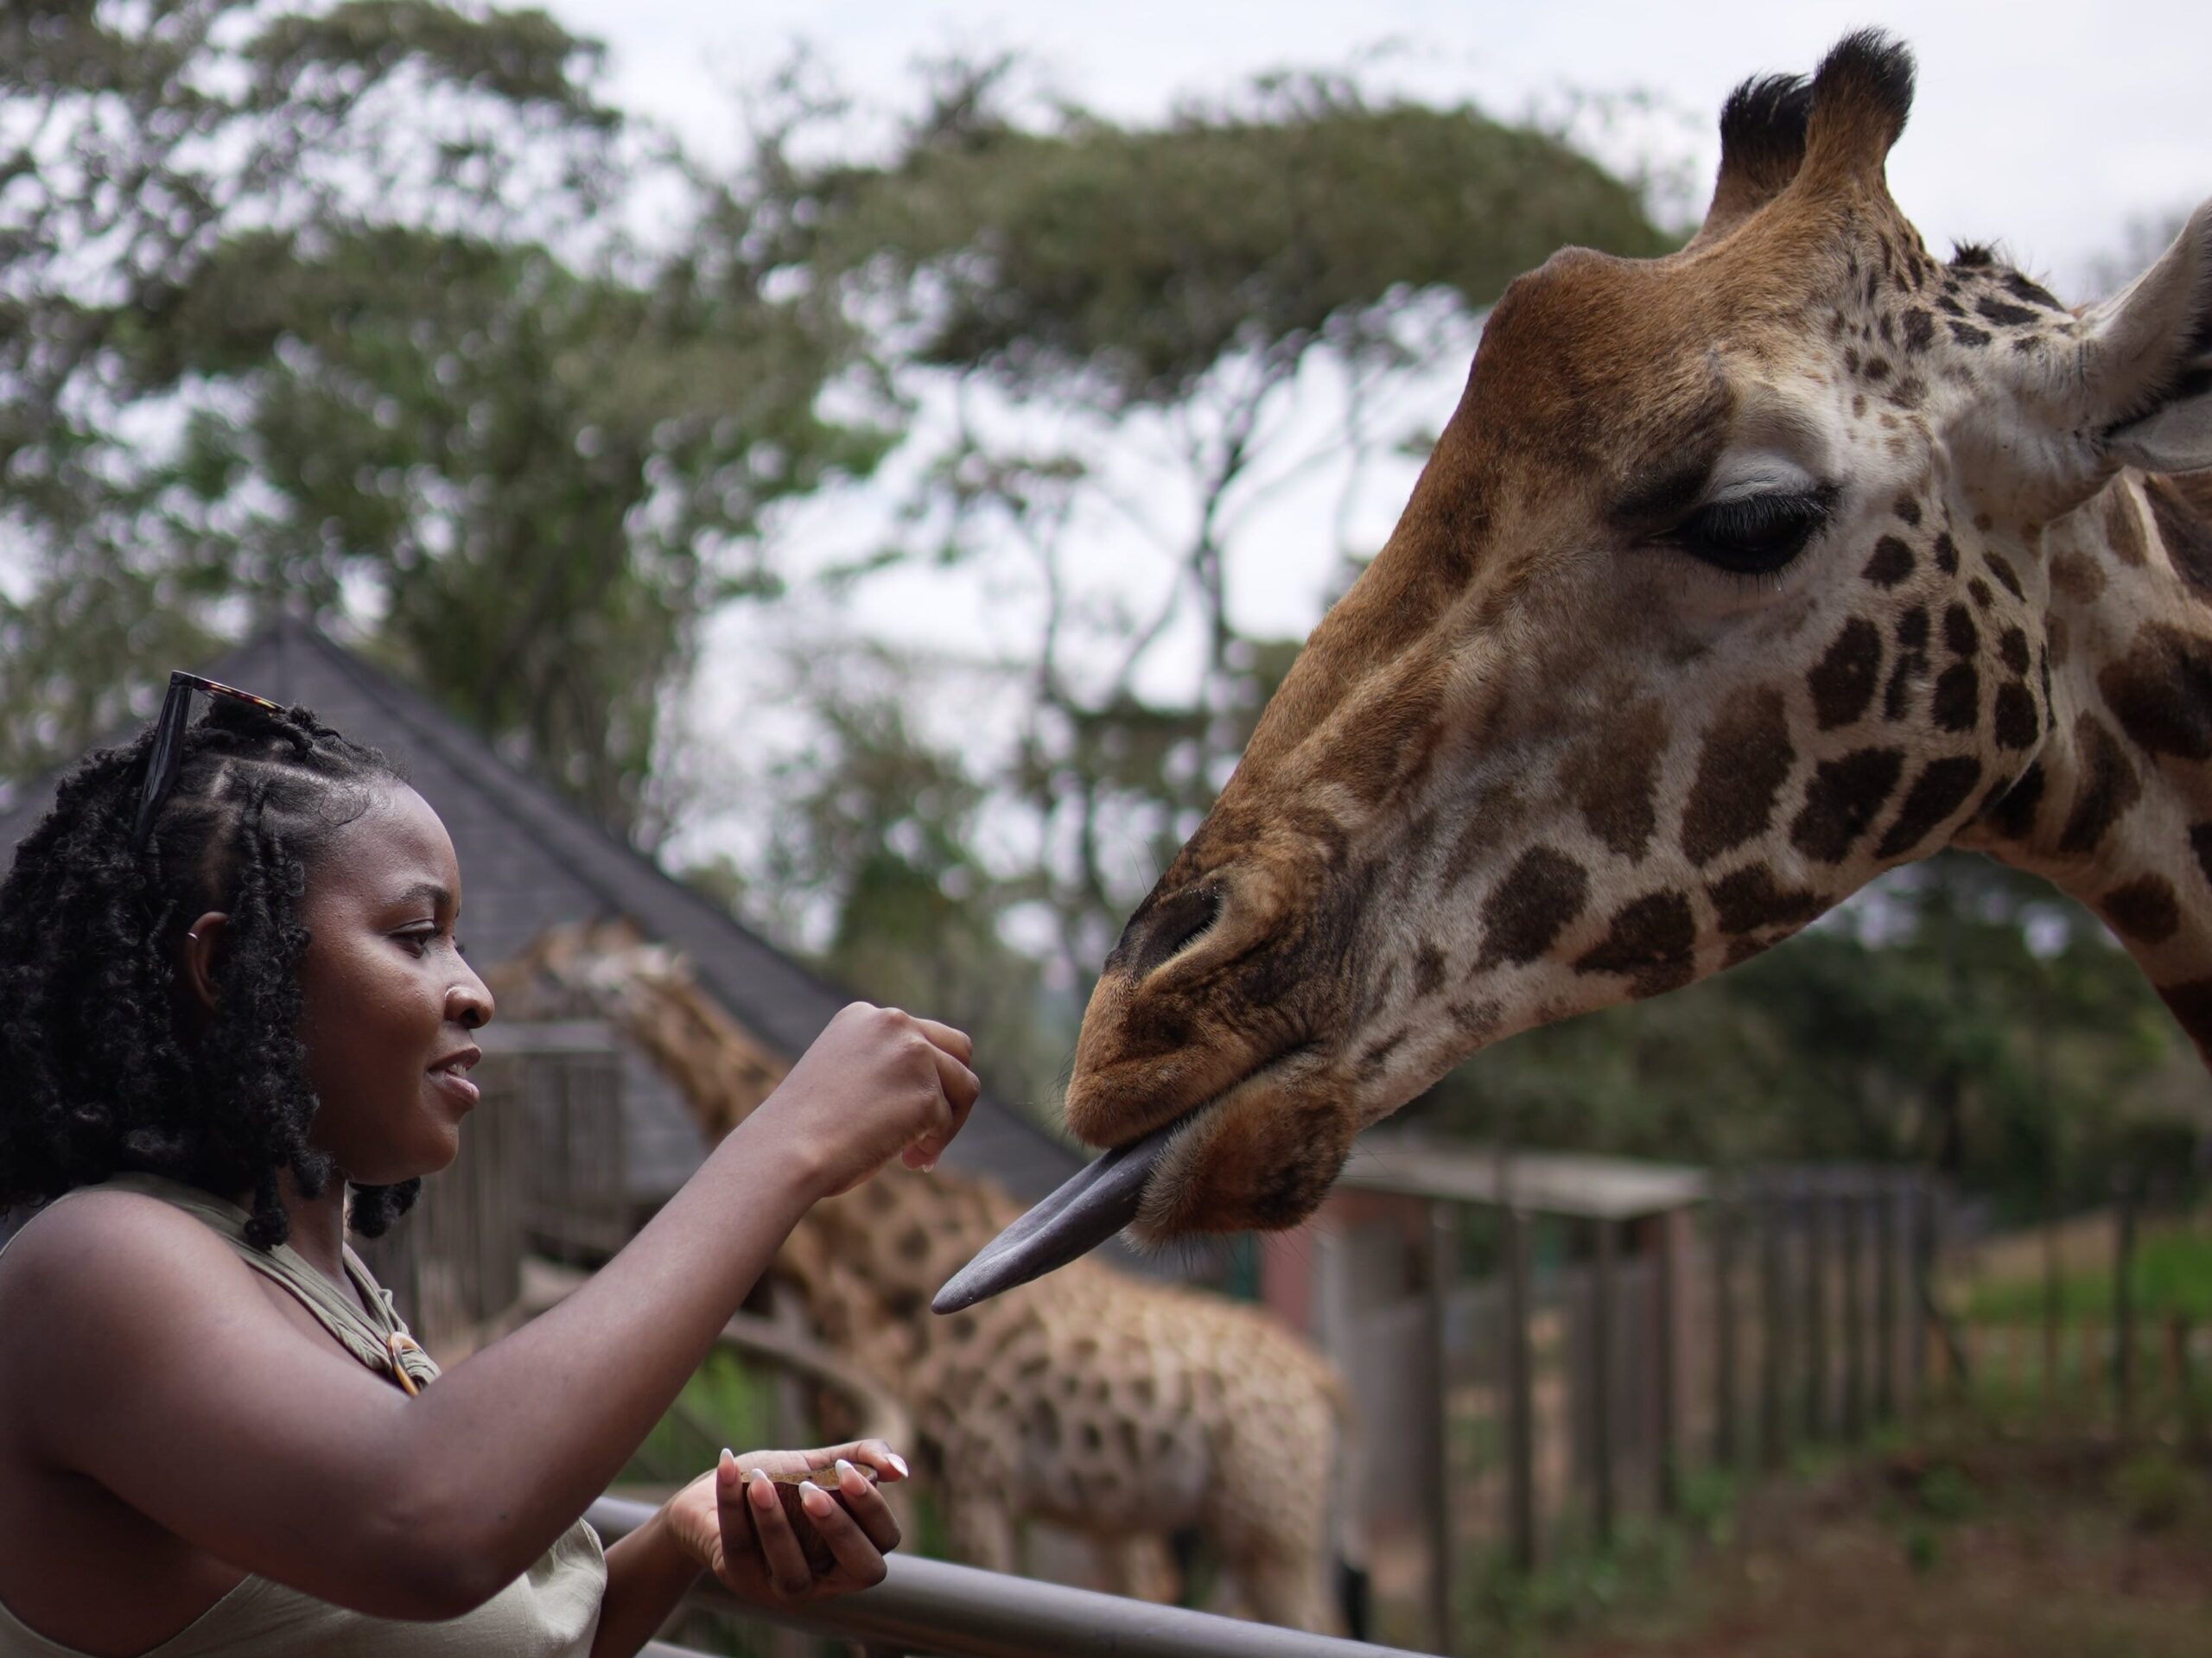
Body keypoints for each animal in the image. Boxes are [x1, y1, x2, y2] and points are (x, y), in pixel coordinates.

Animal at [489, 920, 1360, 1633]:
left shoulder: (979, 1472)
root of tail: (1324, 1380)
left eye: (566, 974)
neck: (898, 1274)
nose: (496, 986)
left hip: (1269, 1515)